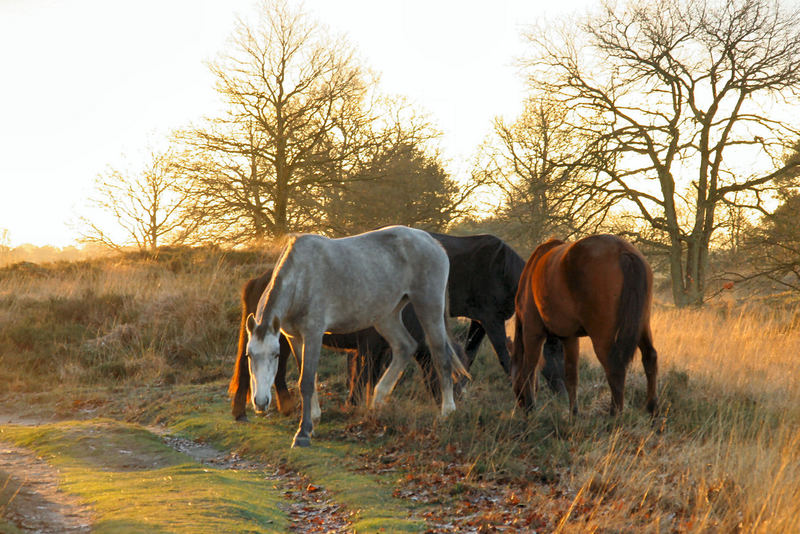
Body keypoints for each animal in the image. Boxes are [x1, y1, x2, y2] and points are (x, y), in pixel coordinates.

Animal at [244, 226, 468, 448]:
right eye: (249, 355)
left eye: (275, 355)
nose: (261, 402)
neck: (301, 277)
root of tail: (432, 242)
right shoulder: (295, 338)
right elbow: (307, 378)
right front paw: (314, 420)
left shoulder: (313, 334)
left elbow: (306, 381)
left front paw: (303, 433)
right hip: (387, 315)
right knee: (405, 347)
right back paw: (376, 403)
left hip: (428, 306)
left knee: (441, 355)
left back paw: (447, 411)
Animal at [512, 236, 656, 418]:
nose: (520, 404)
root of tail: (623, 251)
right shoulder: (569, 337)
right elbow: (571, 376)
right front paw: (573, 414)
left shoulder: (532, 331)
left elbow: (529, 369)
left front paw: (531, 409)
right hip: (642, 326)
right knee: (650, 358)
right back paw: (652, 410)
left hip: (602, 338)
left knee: (615, 369)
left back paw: (614, 415)